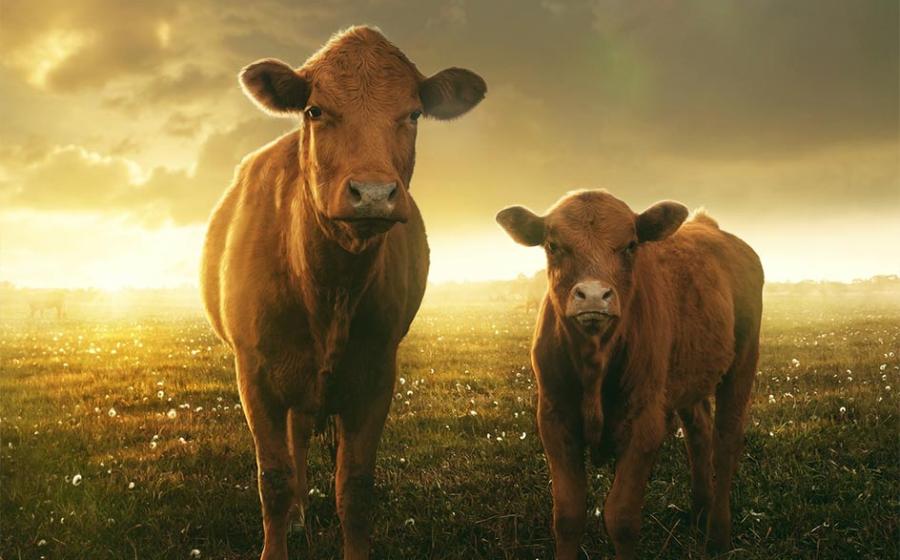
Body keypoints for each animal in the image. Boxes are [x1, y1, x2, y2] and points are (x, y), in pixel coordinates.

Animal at [201, 26, 485, 560]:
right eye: (315, 110)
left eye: (414, 113)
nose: (373, 194)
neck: (327, 288)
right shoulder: (254, 374)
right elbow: (273, 480)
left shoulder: (376, 374)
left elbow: (353, 485)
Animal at [496, 190, 763, 559]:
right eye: (553, 244)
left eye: (631, 244)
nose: (594, 295)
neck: (594, 362)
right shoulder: (554, 419)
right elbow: (567, 515)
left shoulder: (645, 423)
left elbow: (621, 517)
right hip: (687, 377)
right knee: (699, 432)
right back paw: (699, 511)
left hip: (742, 362)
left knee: (726, 443)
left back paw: (718, 536)